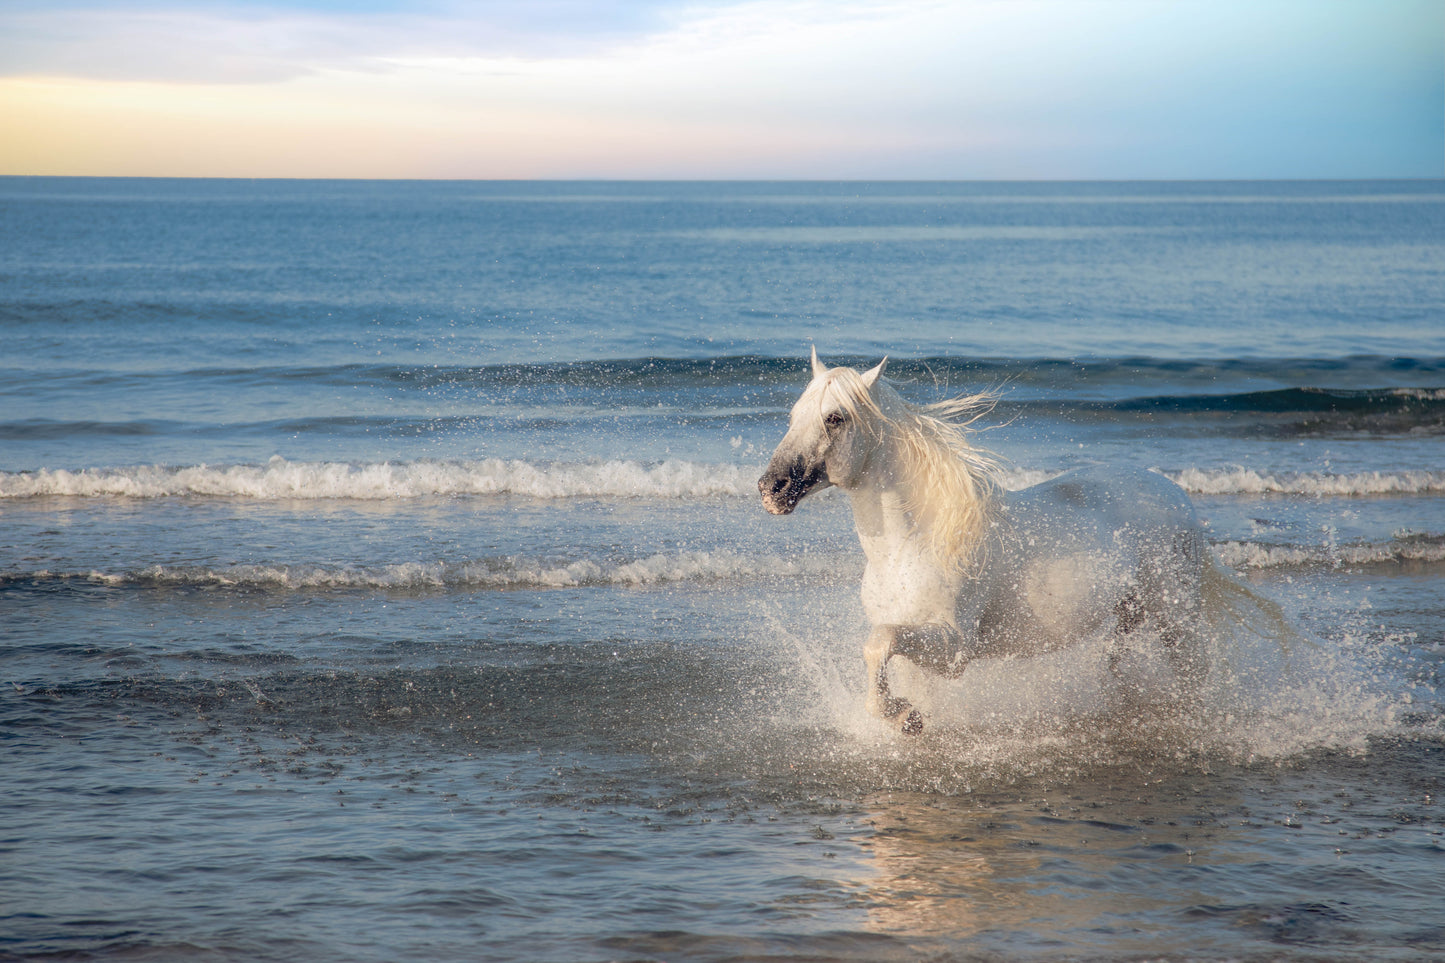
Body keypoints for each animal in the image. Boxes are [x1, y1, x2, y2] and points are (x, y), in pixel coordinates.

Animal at [762, 348, 1271, 731]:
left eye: (835, 418)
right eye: (793, 415)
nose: (771, 488)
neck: (910, 548)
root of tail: (1175, 496)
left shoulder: (955, 648)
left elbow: (878, 643)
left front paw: (903, 717)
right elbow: (882, 655)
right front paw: (907, 717)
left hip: (1174, 618)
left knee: (1195, 672)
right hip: (1130, 614)